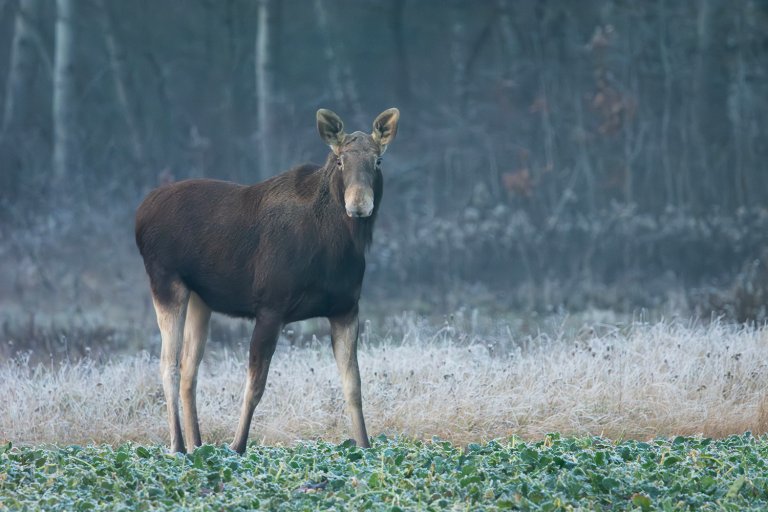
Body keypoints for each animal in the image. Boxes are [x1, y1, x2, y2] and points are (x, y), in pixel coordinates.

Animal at [135, 108, 400, 452]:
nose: (358, 204)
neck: (336, 247)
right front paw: (237, 447)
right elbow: (255, 386)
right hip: (166, 282)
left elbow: (353, 386)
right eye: (340, 160)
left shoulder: (346, 309)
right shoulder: (271, 307)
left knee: (189, 370)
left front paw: (366, 447)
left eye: (378, 160)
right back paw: (178, 447)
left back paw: (197, 446)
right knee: (169, 367)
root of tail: (139, 215)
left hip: (200, 299)